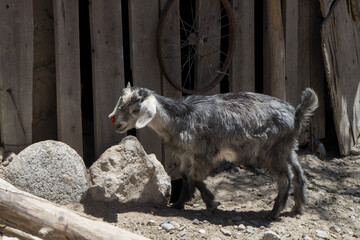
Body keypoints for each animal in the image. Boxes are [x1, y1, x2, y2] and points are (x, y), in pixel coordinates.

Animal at [109, 83, 318, 219]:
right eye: (121, 104)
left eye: (136, 109)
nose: (117, 124)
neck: (180, 118)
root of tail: (296, 115)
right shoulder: (187, 154)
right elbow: (185, 175)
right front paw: (179, 203)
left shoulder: (203, 153)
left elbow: (194, 177)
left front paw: (211, 203)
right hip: (288, 148)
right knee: (298, 172)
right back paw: (298, 207)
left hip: (271, 152)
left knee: (285, 177)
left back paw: (274, 212)